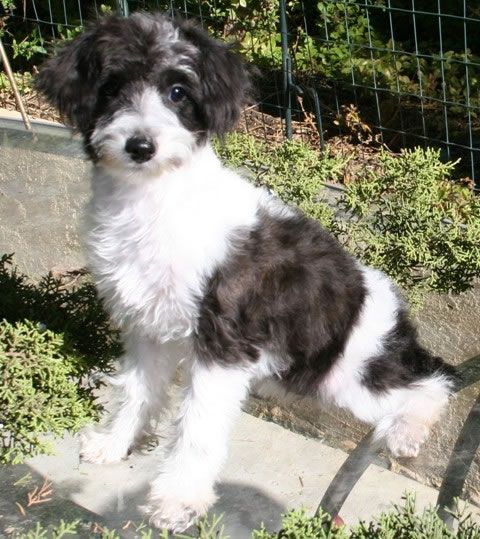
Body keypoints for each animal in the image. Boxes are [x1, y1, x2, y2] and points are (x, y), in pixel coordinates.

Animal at [36, 11, 458, 532]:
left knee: (432, 382)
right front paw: (115, 445)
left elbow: (196, 428)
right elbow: (136, 391)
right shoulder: (147, 329)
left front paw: (177, 500)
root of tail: (396, 312)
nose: (141, 146)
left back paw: (407, 430)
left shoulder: (223, 346)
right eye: (113, 87)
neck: (157, 200)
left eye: (178, 92)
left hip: (343, 375)